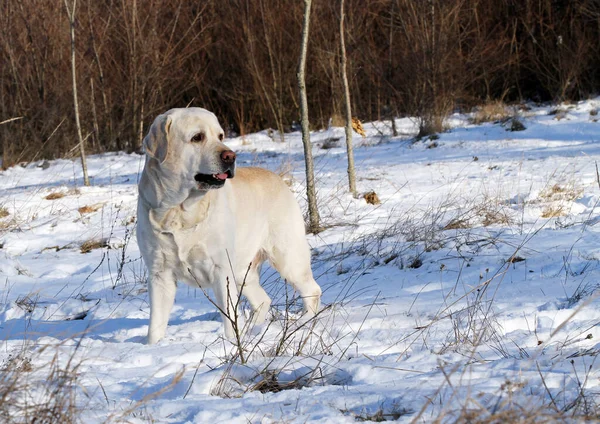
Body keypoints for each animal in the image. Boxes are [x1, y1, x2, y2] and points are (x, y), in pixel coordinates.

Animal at [137, 107, 324, 342]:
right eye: (197, 137)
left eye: (220, 136)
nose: (230, 156)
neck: (179, 211)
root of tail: (278, 179)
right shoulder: (159, 274)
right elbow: (155, 326)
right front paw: (153, 345)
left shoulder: (220, 268)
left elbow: (228, 315)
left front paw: (232, 343)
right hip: (243, 270)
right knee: (263, 300)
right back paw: (252, 330)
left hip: (288, 257)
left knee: (312, 290)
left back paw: (303, 323)